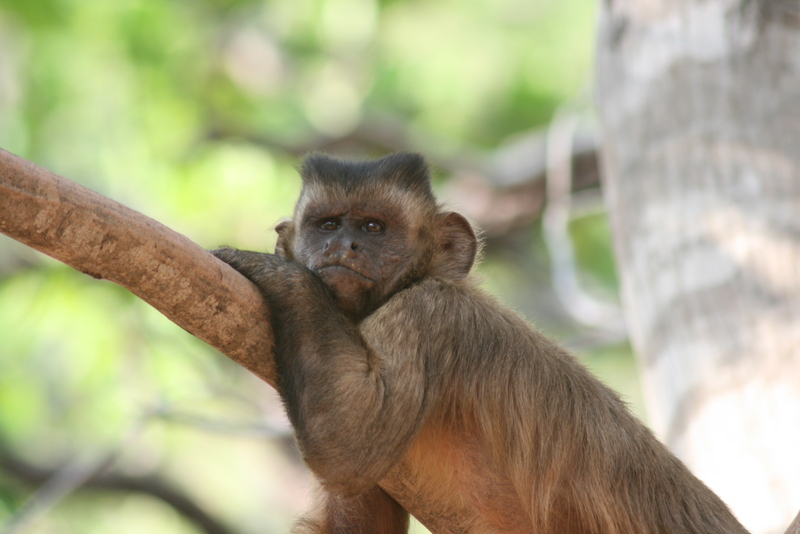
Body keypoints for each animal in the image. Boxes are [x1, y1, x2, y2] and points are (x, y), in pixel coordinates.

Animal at [211, 152, 749, 534]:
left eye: (373, 227)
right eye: (327, 224)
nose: (343, 246)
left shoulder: (433, 312)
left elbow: (349, 442)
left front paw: (277, 274)